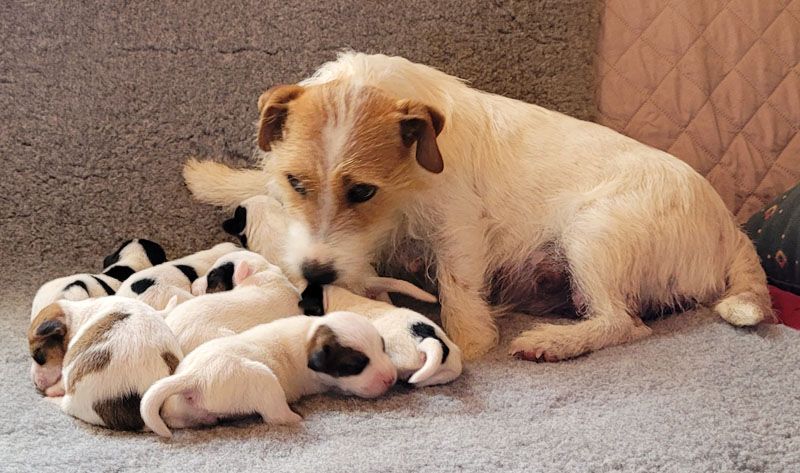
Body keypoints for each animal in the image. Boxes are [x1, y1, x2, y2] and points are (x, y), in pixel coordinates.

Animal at [141, 312, 400, 436]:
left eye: (383, 347)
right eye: (355, 365)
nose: (392, 378)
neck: (309, 335)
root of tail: (195, 375)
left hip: (178, 406)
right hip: (262, 379)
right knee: (275, 415)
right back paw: (294, 416)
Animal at [184, 51, 772, 360]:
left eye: (363, 192)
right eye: (297, 183)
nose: (315, 274)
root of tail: (730, 229)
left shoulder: (458, 227)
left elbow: (458, 284)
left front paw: (469, 340)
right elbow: (259, 186)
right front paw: (213, 178)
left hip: (594, 235)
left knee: (622, 322)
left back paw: (552, 342)